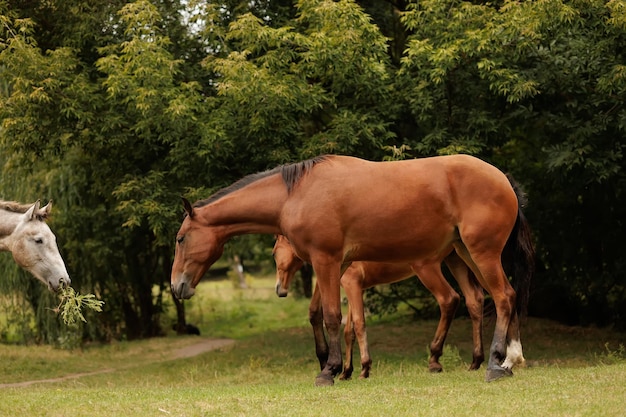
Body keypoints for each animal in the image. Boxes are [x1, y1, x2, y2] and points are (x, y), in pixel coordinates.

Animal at [272, 236, 482, 378]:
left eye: (274, 253)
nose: (279, 289)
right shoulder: (357, 289)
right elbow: (348, 331)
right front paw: (347, 372)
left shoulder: (352, 285)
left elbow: (358, 324)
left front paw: (364, 368)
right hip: (459, 262)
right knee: (475, 300)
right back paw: (476, 361)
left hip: (427, 268)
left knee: (449, 299)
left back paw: (434, 359)